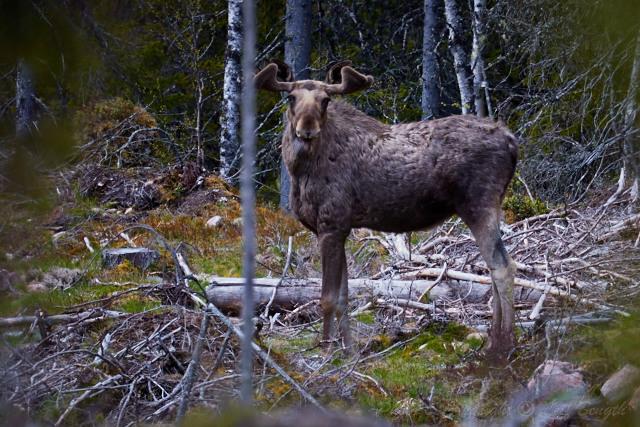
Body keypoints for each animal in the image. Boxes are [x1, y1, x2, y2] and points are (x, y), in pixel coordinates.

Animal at [255, 60, 520, 360]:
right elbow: (344, 296)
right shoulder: (341, 227)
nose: (307, 129)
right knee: (492, 268)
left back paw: (503, 346)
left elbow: (327, 298)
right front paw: (349, 352)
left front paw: (326, 351)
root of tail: (512, 142)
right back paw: (492, 340)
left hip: (478, 203)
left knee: (503, 267)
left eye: (325, 100)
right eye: (291, 98)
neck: (299, 172)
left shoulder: (330, 225)